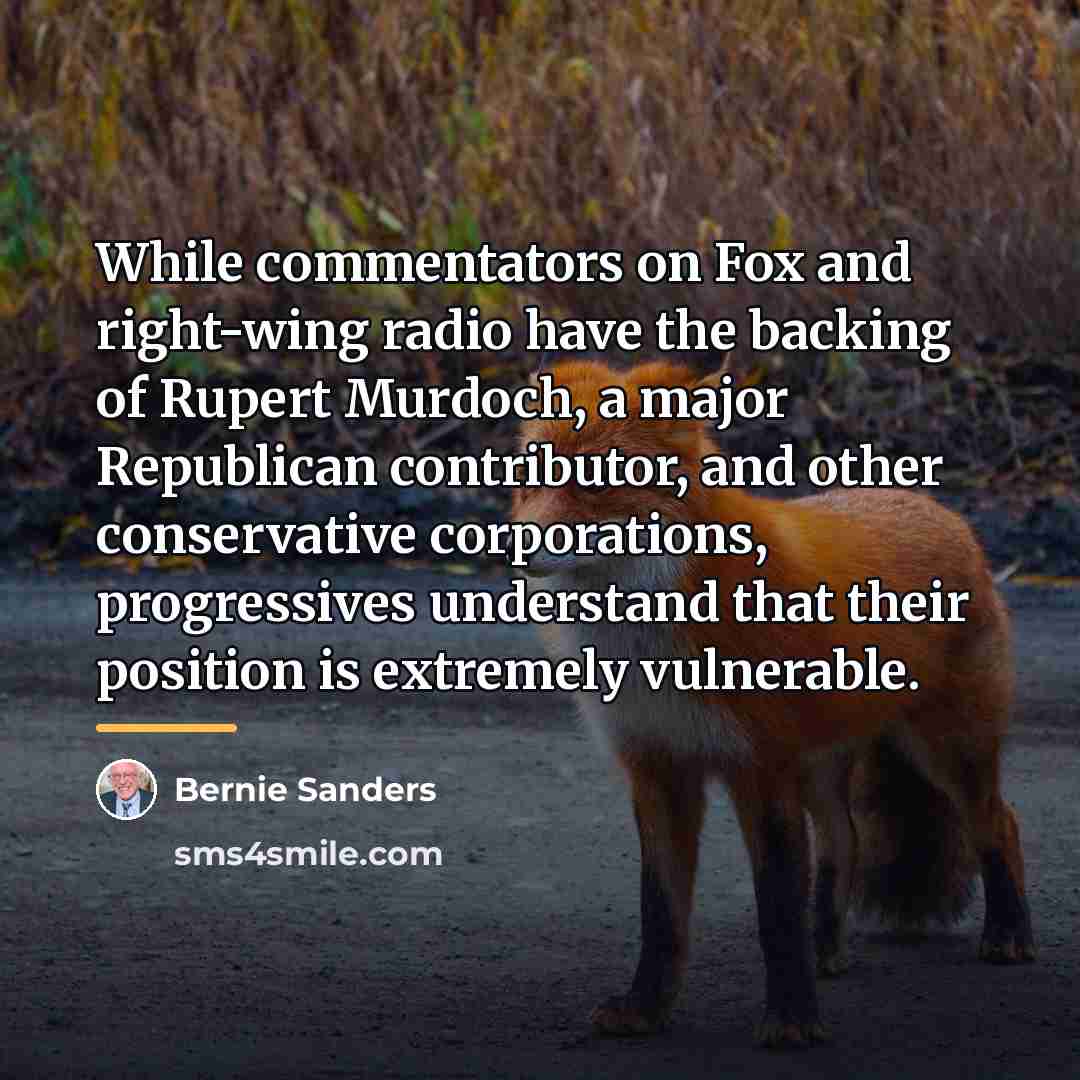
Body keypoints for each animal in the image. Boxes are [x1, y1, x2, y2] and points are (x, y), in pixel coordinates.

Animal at [510, 357, 1034, 1049]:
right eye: (527, 477)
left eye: (595, 481)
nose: (511, 546)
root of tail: (945, 512)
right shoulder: (657, 768)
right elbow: (661, 914)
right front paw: (646, 1009)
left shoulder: (759, 768)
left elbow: (777, 907)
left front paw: (791, 1020)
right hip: (824, 768)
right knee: (845, 843)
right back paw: (827, 950)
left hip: (947, 750)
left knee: (999, 824)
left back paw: (1009, 934)